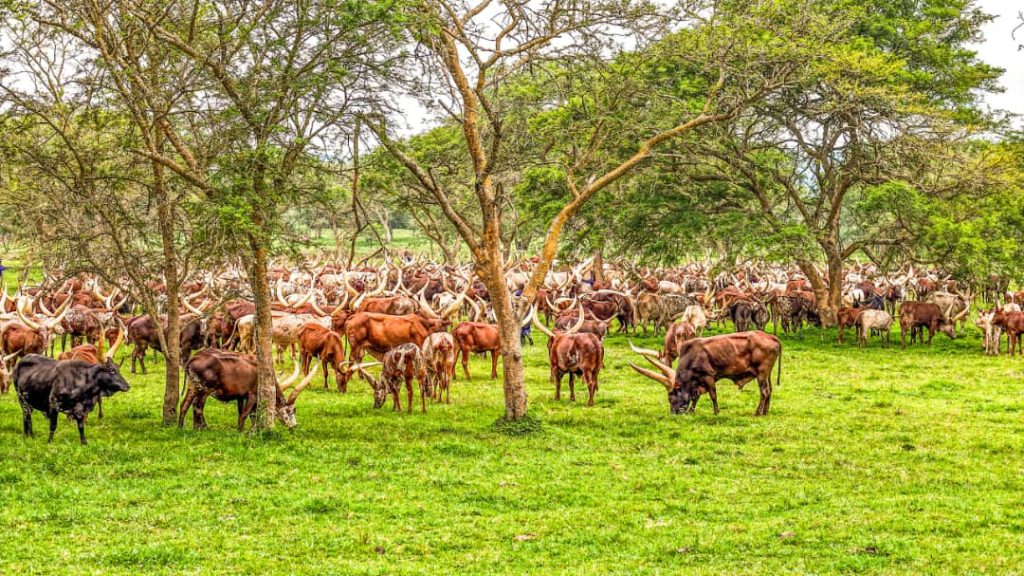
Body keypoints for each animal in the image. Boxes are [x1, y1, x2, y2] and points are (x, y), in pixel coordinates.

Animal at [628, 331, 781, 416]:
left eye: (672, 397)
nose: (674, 413)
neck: (691, 357)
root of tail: (771, 337)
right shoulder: (697, 383)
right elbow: (695, 397)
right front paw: (691, 411)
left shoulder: (709, 377)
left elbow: (713, 395)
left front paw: (716, 412)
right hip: (767, 374)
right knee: (770, 390)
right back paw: (765, 411)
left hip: (761, 373)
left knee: (764, 391)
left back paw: (758, 412)